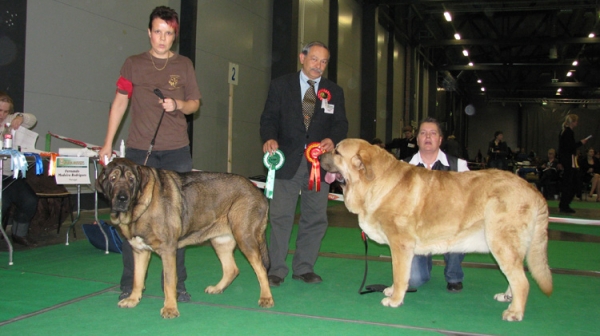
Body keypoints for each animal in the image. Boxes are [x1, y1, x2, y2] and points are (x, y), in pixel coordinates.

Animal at [97, 158, 276, 318]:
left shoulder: (168, 250)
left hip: (245, 238)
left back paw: (266, 298)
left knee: (261, 270)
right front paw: (133, 300)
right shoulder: (140, 250)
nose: (122, 199)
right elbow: (137, 279)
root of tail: (258, 191)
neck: (139, 206)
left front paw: (170, 309)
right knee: (231, 269)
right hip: (220, 241)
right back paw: (217, 288)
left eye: (131, 179)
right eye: (112, 178)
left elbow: (169, 282)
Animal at [322, 138, 552, 320]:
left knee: (521, 281)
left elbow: (399, 274)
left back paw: (514, 312)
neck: (374, 182)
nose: (320, 154)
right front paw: (391, 291)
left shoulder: (400, 244)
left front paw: (395, 299)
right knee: (516, 275)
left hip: (501, 242)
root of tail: (532, 189)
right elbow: (399, 274)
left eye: (337, 152)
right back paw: (507, 297)